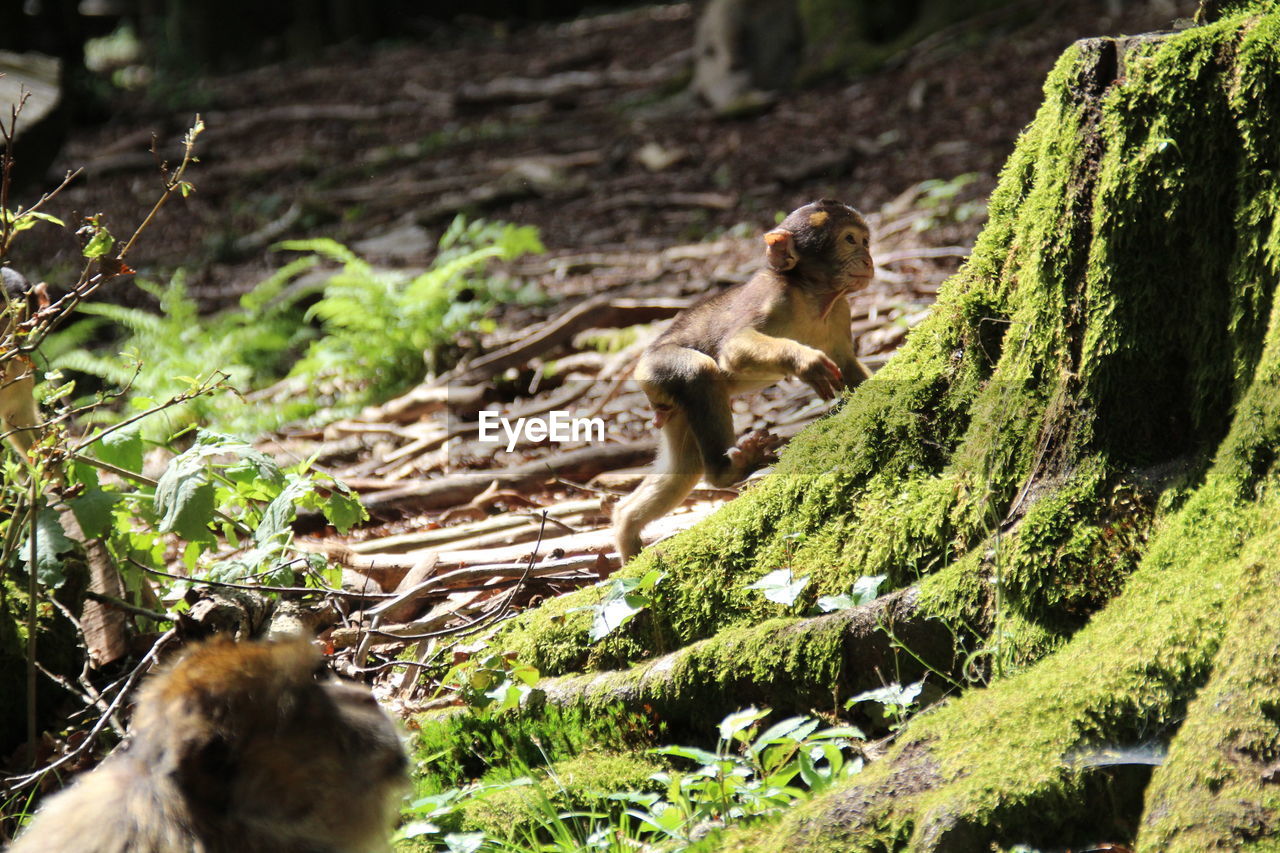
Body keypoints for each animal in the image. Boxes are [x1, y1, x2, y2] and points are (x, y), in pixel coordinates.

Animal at [614, 197, 875, 560]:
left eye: (865, 241)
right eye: (850, 240)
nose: (868, 258)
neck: (812, 295)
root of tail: (641, 369)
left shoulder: (840, 311)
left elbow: (847, 365)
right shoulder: (774, 297)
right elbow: (733, 351)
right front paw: (805, 362)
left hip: (668, 403)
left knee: (685, 466)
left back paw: (627, 525)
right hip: (658, 369)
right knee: (700, 372)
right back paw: (725, 473)